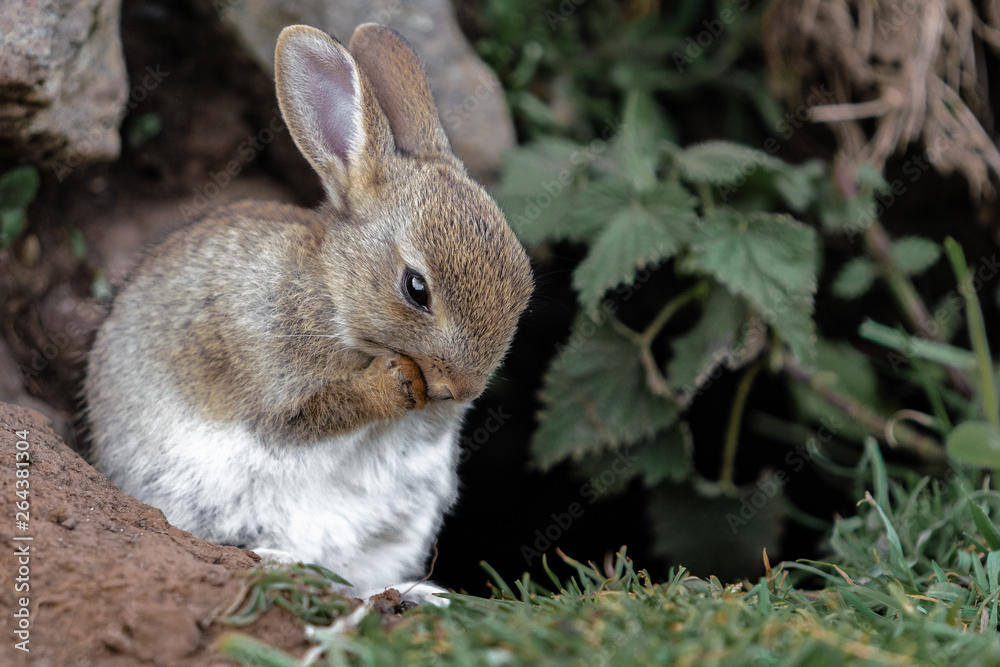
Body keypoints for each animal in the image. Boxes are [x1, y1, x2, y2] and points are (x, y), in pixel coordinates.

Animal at [83, 23, 533, 605]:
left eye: (524, 281)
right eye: (416, 288)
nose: (463, 389)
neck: (336, 299)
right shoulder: (272, 382)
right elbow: (310, 413)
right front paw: (394, 384)